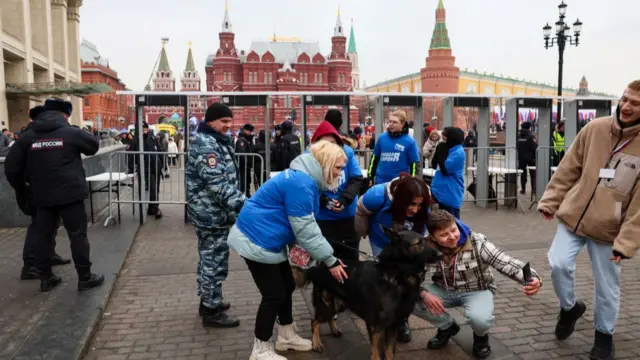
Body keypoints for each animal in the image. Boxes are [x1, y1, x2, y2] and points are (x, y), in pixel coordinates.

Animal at [292, 228, 442, 360]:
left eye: (426, 240)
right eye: (418, 243)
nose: (441, 254)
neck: (397, 274)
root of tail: (317, 268)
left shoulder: (393, 325)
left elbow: (389, 353)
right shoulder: (377, 327)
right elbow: (376, 353)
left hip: (339, 305)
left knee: (327, 318)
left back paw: (334, 330)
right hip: (327, 305)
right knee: (314, 321)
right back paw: (316, 343)